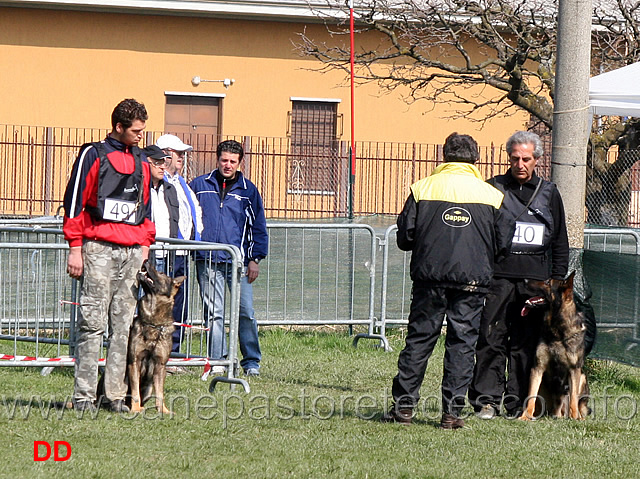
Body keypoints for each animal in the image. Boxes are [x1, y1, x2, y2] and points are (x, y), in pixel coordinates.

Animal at [126, 260, 184, 414]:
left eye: (162, 273)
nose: (145, 260)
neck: (153, 323)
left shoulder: (160, 365)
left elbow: (160, 392)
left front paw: (163, 410)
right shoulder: (135, 362)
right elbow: (135, 392)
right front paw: (135, 408)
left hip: (148, 387)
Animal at [520, 272, 592, 422]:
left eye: (548, 282)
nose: (524, 279)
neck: (557, 331)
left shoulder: (574, 369)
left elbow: (573, 400)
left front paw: (575, 418)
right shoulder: (538, 368)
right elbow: (531, 397)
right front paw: (525, 416)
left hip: (582, 377)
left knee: (577, 404)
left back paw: (577, 417)